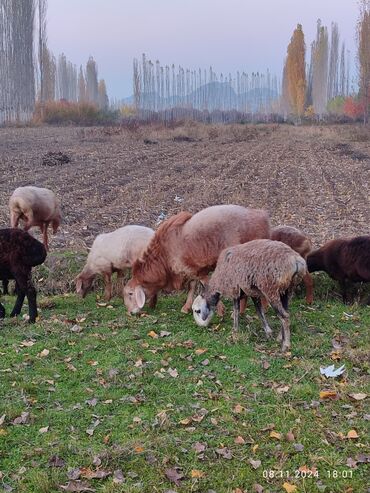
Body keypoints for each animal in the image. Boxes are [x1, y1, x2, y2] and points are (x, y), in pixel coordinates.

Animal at [123, 205, 270, 314]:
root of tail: (261, 215)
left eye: (130, 293)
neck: (163, 257)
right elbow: (192, 287)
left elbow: (208, 286)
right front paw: (186, 307)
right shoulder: (192, 270)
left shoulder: (197, 271)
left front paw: (220, 310)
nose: (130, 313)